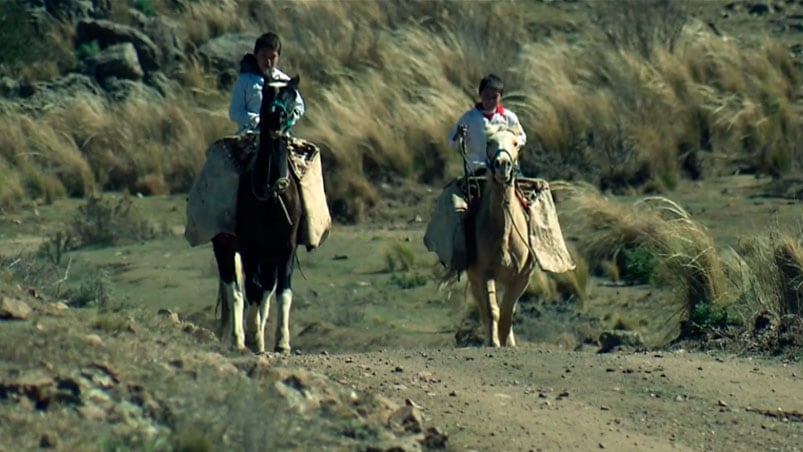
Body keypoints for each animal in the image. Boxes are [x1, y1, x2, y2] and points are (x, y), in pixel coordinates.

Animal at [212, 76, 304, 354]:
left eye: (291, 96)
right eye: (266, 93)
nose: (275, 119)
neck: (271, 191)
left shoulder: (285, 248)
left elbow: (282, 291)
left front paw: (282, 342)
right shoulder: (250, 247)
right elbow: (251, 289)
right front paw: (255, 338)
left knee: (265, 288)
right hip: (224, 246)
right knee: (234, 290)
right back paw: (239, 338)